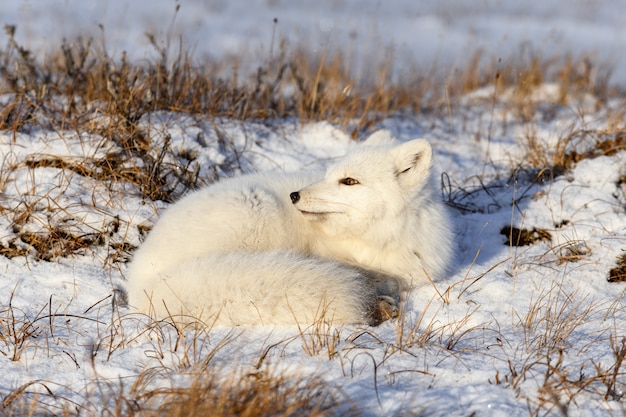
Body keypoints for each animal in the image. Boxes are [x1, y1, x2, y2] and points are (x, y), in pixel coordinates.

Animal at [124, 132, 450, 326]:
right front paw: (378, 291)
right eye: (328, 175)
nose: (294, 196)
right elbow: (379, 277)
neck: (380, 238)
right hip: (258, 210)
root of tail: (141, 282)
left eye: (349, 181)